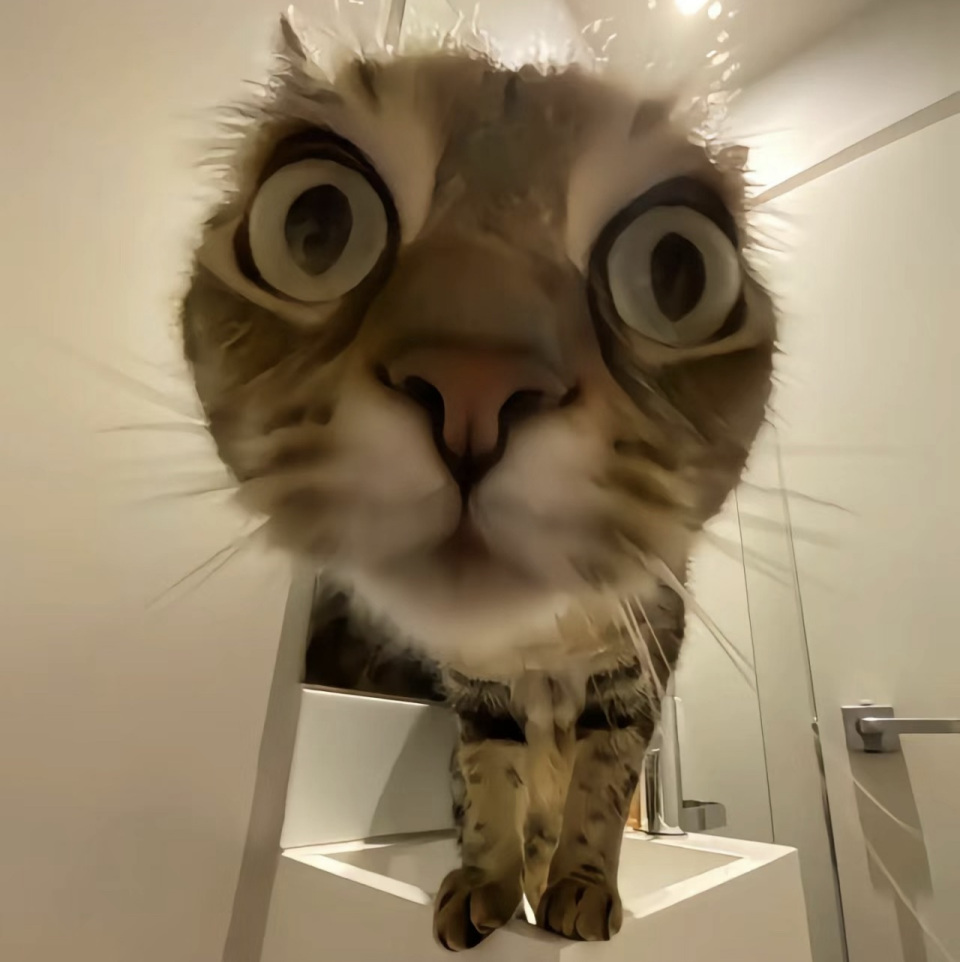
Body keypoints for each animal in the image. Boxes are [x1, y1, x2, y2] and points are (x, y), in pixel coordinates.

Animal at [180, 15, 775, 950]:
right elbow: (491, 790)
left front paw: (583, 887)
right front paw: (485, 886)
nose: (471, 388)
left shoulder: (628, 686)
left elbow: (598, 794)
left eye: (672, 269)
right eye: (318, 226)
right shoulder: (480, 699)